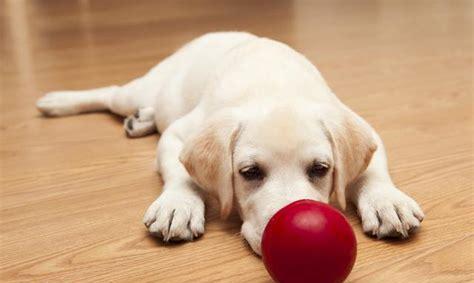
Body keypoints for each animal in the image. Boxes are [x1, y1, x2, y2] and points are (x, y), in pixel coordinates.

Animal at [37, 32, 422, 256]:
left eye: (320, 169)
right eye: (249, 172)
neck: (274, 86)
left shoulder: (364, 127)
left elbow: (373, 170)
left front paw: (388, 202)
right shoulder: (179, 134)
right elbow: (181, 173)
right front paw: (177, 205)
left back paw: (140, 119)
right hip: (143, 89)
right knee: (111, 93)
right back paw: (58, 102)